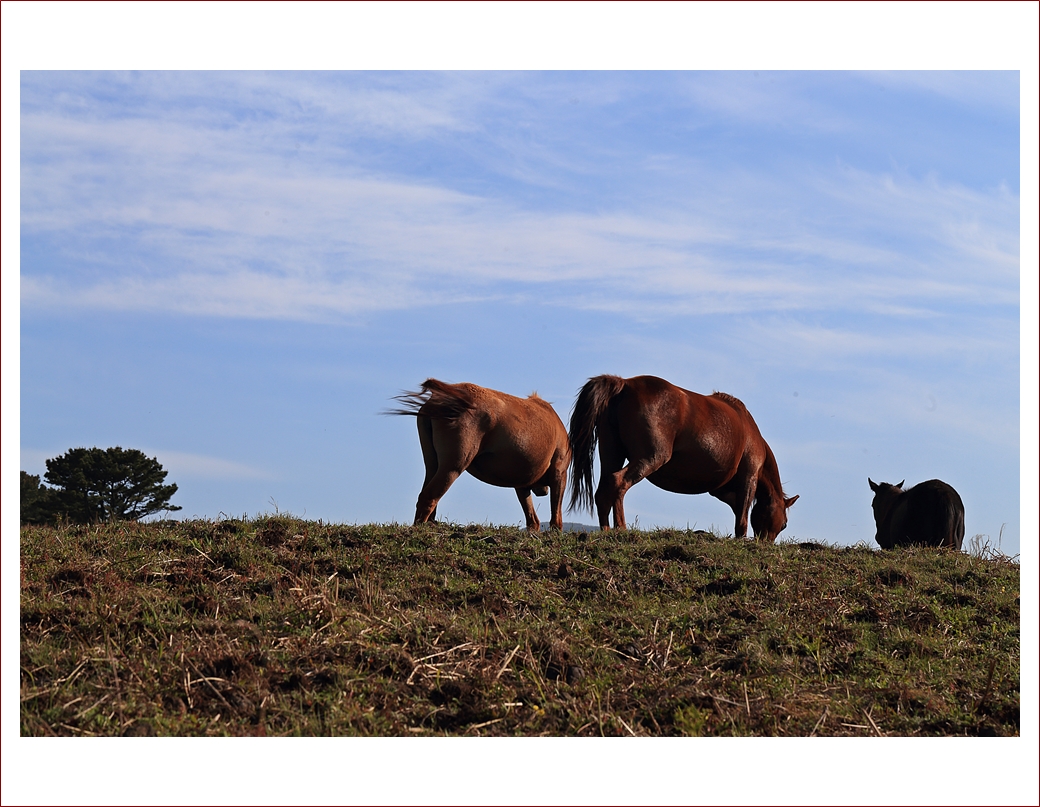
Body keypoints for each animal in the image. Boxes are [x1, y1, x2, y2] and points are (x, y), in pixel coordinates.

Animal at [388, 380, 569, 532]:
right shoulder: (559, 473)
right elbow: (556, 517)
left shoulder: (521, 483)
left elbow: (533, 520)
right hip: (452, 467)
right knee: (428, 497)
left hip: (433, 465)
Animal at [569, 376, 794, 540]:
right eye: (784, 524)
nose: (765, 543)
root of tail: (624, 384)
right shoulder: (749, 477)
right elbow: (742, 517)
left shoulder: (721, 489)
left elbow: (738, 509)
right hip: (649, 458)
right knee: (618, 483)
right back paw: (621, 529)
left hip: (612, 455)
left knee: (603, 490)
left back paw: (606, 531)